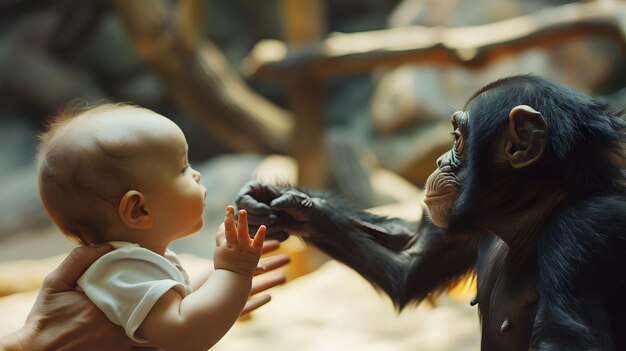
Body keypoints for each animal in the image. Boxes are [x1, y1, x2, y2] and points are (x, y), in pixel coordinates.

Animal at [236, 75, 624, 350]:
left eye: (457, 139)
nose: (438, 161)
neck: (528, 214)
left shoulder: (578, 231)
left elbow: (567, 336)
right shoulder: (469, 226)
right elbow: (412, 263)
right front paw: (279, 203)